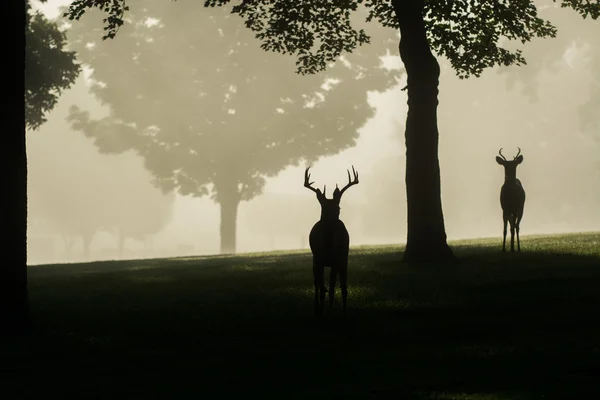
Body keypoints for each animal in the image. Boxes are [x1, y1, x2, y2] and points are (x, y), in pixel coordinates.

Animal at [304, 165, 356, 316]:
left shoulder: (336, 259)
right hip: (318, 258)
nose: (330, 223)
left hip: (338, 258)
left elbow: (334, 287)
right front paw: (321, 310)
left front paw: (331, 309)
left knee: (337, 285)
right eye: (324, 208)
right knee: (318, 283)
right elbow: (322, 286)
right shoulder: (320, 258)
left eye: (338, 208)